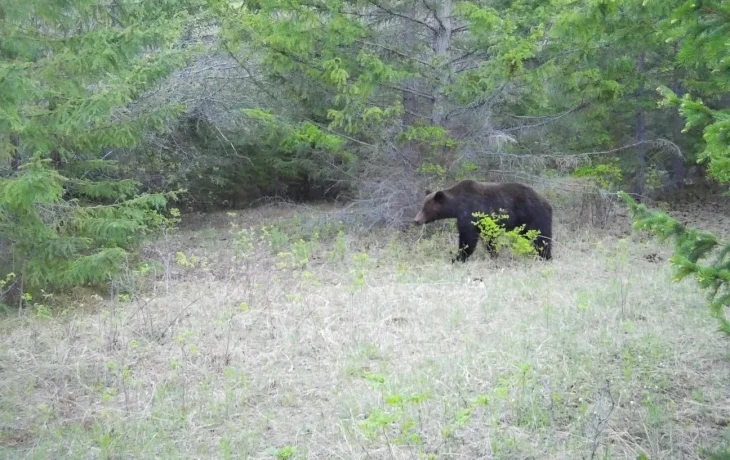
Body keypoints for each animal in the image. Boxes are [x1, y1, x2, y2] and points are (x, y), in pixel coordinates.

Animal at [413, 179, 553, 262]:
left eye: (426, 208)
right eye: (422, 205)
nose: (416, 220)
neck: (456, 205)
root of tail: (546, 201)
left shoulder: (470, 213)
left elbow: (468, 238)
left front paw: (458, 258)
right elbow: (489, 239)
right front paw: (494, 255)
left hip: (534, 215)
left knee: (542, 238)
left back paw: (545, 256)